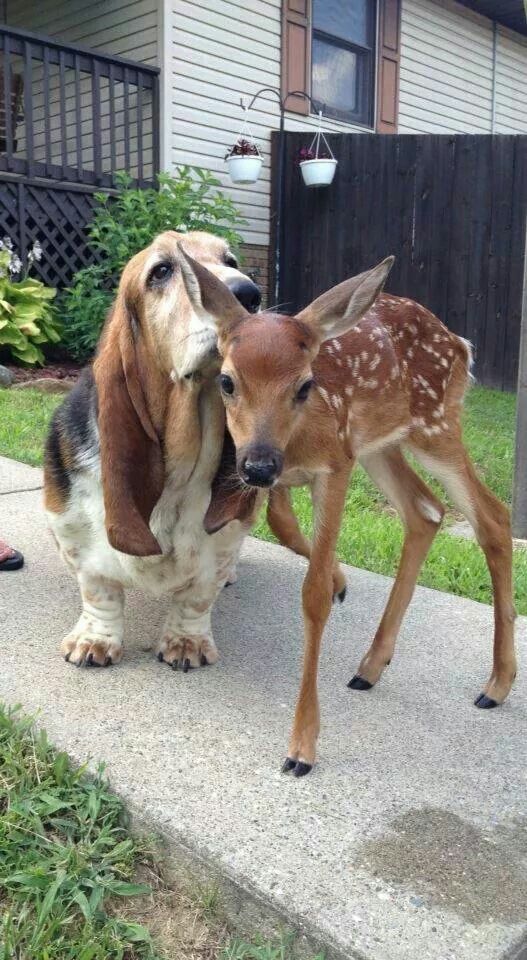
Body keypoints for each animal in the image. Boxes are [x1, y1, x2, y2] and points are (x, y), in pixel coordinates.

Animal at [178, 246, 517, 778]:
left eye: (305, 386)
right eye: (227, 381)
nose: (256, 465)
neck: (295, 443)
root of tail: (459, 343)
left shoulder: (335, 465)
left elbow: (312, 594)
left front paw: (301, 748)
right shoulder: (290, 474)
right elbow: (281, 524)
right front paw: (340, 578)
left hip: (436, 426)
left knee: (492, 516)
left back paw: (497, 684)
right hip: (381, 444)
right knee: (426, 511)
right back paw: (370, 667)